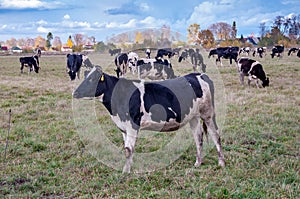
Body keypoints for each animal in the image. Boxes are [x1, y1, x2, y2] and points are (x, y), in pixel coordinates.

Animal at [73, 66, 225, 173]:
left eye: (92, 79)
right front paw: (129, 167)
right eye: (85, 77)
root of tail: (199, 74)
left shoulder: (132, 125)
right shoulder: (123, 127)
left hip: (207, 113)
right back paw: (198, 163)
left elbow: (128, 150)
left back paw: (221, 163)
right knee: (198, 137)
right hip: (193, 116)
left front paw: (125, 172)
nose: (75, 92)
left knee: (215, 134)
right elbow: (127, 149)